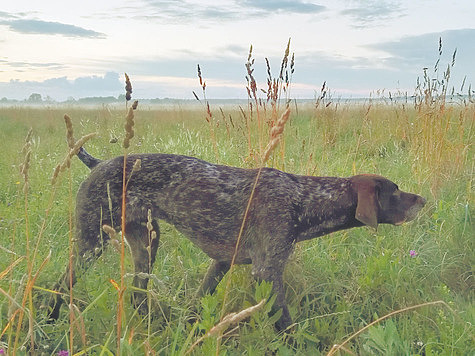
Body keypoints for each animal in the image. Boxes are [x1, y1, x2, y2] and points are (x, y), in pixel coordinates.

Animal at [49, 146, 428, 330]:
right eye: (395, 191)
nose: (423, 200)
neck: (303, 198)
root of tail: (99, 162)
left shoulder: (222, 262)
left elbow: (198, 304)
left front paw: (187, 331)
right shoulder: (267, 272)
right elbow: (285, 323)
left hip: (146, 243)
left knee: (138, 293)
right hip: (92, 242)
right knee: (61, 286)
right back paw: (50, 323)